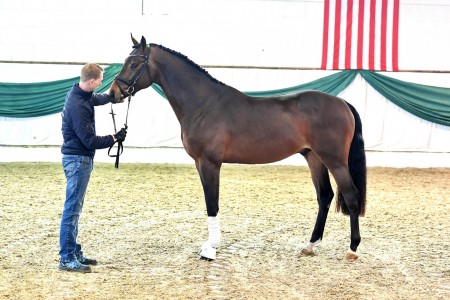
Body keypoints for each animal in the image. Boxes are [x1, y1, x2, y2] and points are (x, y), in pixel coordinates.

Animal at [109, 34, 366, 260]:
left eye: (133, 64)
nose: (113, 93)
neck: (204, 104)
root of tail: (342, 103)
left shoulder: (210, 163)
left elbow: (212, 202)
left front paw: (210, 249)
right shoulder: (200, 164)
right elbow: (210, 201)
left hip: (334, 160)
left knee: (351, 196)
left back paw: (352, 249)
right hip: (314, 158)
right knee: (325, 197)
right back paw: (310, 246)